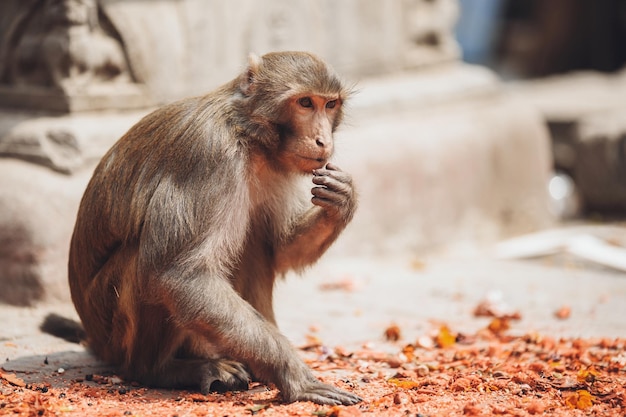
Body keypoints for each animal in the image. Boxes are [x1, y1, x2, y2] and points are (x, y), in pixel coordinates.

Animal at [65, 50, 358, 404]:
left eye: (330, 105)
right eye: (305, 103)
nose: (322, 140)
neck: (249, 135)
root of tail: (96, 341)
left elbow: (279, 251)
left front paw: (343, 200)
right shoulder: (210, 157)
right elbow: (178, 275)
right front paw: (293, 372)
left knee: (253, 239)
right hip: (113, 330)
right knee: (148, 265)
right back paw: (162, 370)